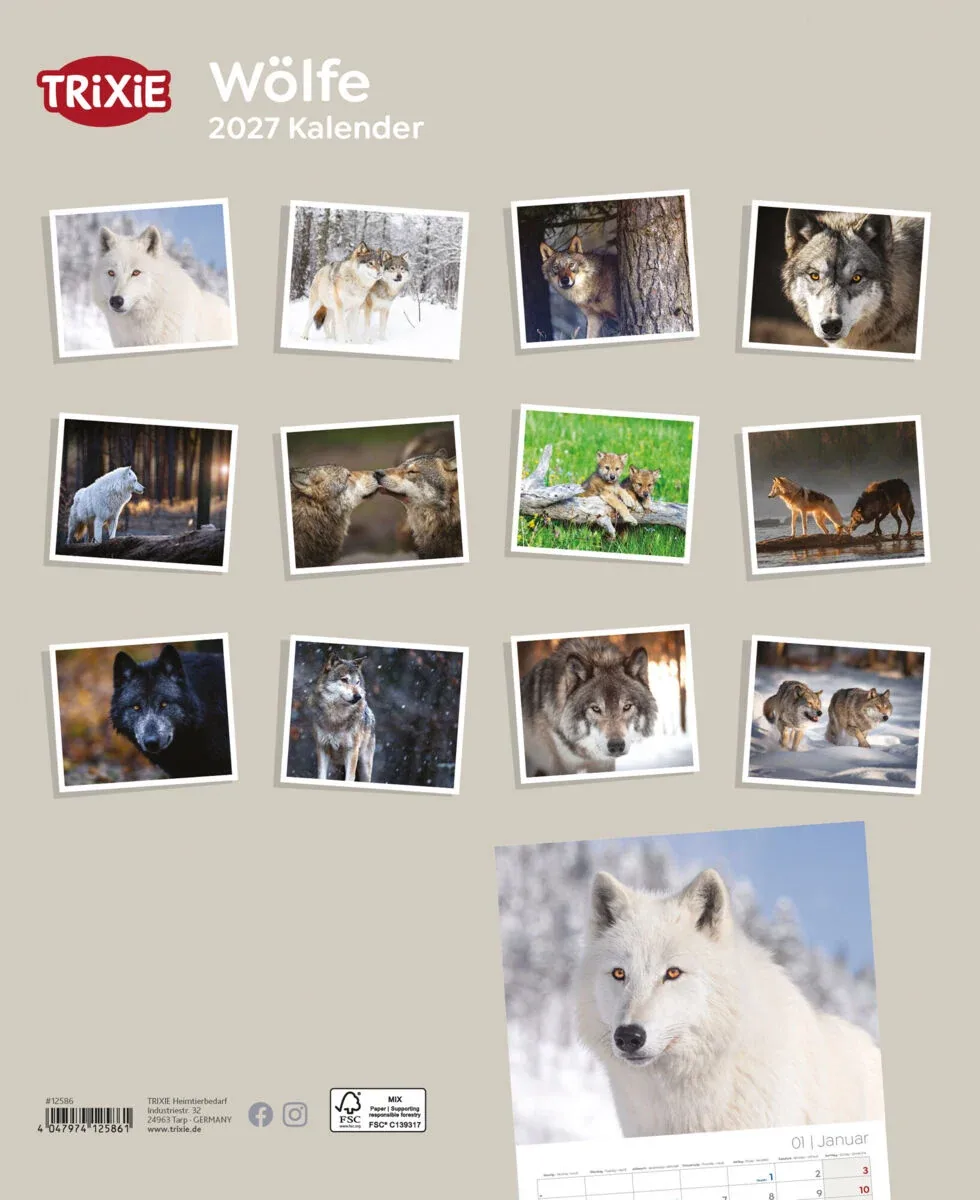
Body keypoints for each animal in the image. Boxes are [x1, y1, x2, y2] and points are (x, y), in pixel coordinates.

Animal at [307, 653, 376, 782]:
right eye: (344, 680)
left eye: (357, 682)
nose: (358, 696)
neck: (337, 717)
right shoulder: (322, 747)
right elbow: (321, 776)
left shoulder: (351, 750)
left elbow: (349, 778)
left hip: (364, 768)